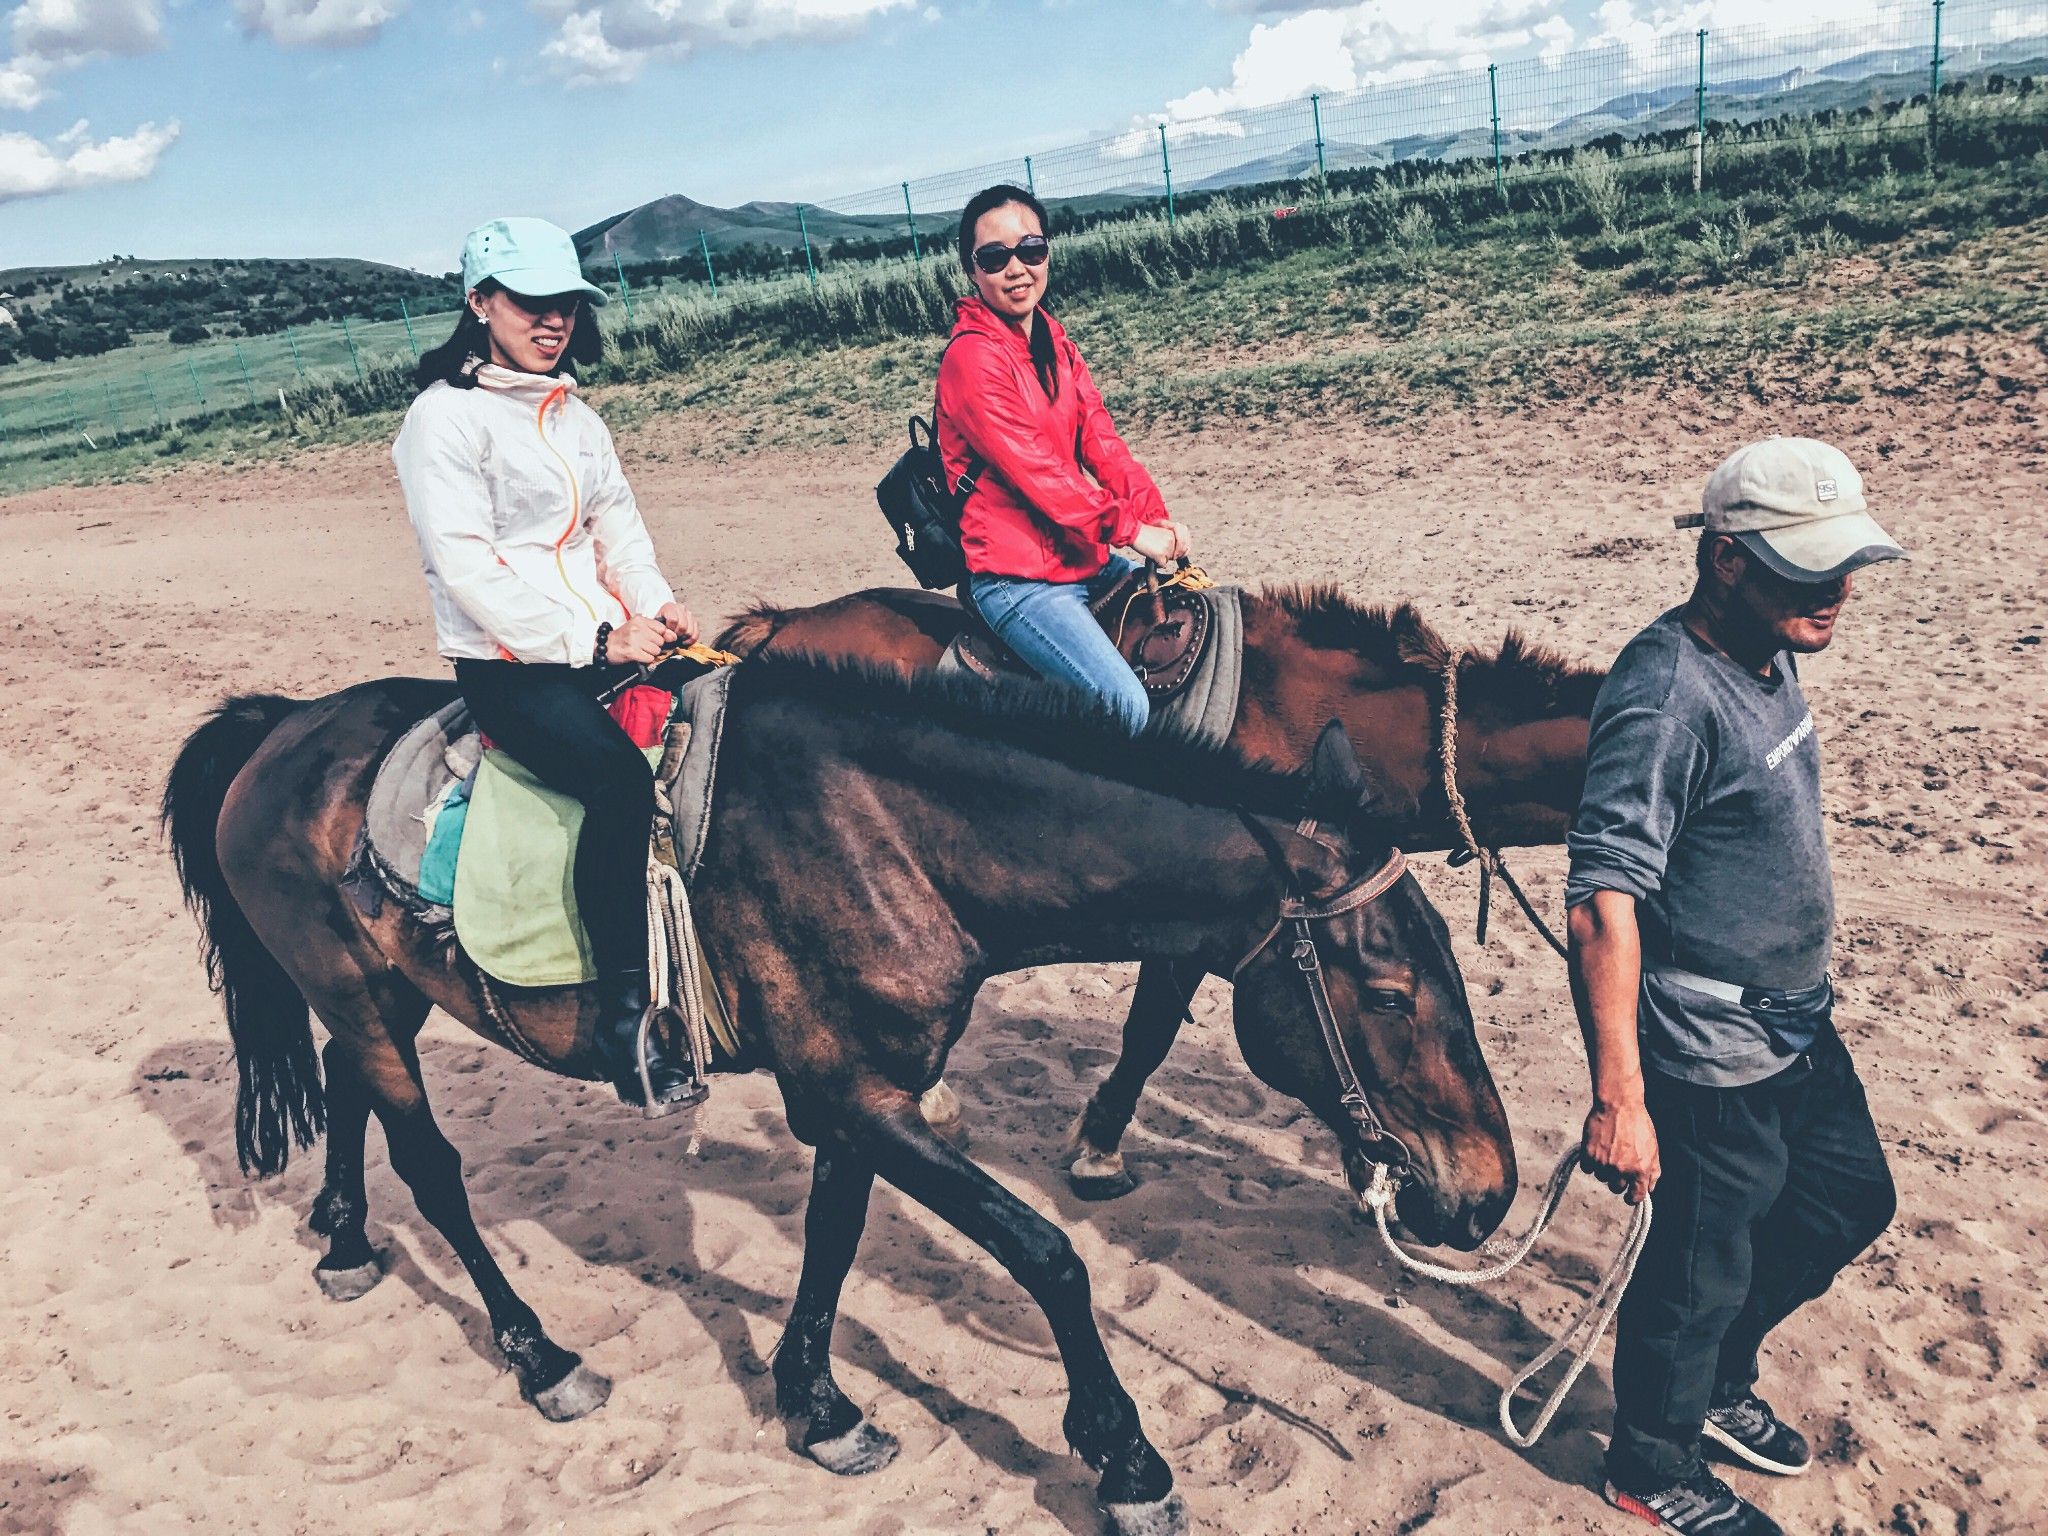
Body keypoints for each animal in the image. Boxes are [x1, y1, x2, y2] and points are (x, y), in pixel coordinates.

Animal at [163, 651, 1523, 1536]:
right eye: (1389, 992)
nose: (1486, 1195)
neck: (889, 837)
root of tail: (284, 730)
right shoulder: (861, 1098)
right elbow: (1044, 1253)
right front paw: (1125, 1458)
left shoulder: (855, 1088)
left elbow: (831, 1237)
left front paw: (817, 1407)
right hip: (359, 999)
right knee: (434, 1172)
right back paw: (542, 1356)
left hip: (369, 1000)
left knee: (350, 1101)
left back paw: (346, 1240)